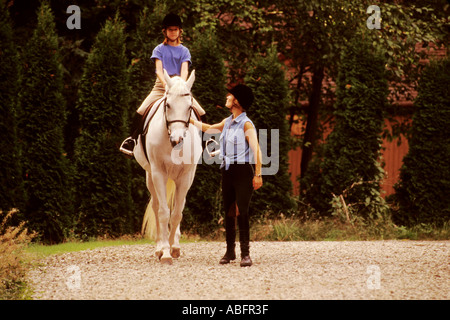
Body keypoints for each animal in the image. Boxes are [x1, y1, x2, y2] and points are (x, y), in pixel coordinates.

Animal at [134, 70, 202, 264]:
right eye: (168, 105)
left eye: (189, 107)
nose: (177, 140)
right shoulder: (158, 173)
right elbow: (164, 212)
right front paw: (165, 252)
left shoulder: (186, 176)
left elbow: (177, 213)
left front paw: (174, 247)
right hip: (150, 177)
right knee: (157, 207)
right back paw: (159, 248)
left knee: (179, 205)